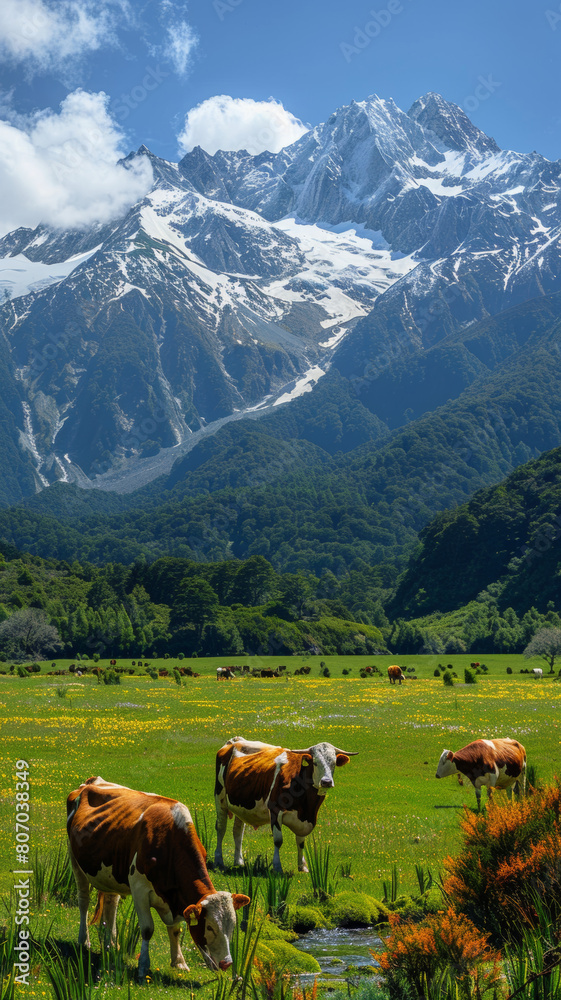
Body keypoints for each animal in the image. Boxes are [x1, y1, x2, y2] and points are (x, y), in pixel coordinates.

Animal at [66, 776, 248, 980]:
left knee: (111, 904)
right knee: (83, 901)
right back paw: (84, 940)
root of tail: (91, 781)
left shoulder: (176, 899)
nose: (227, 963)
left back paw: (111, 944)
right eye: (209, 927)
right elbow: (147, 929)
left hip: (111, 872)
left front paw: (179, 962)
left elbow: (176, 930)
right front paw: (143, 966)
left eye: (232, 927)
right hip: (75, 862)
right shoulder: (139, 889)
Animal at [212, 736, 356, 876]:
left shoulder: (305, 819)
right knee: (221, 828)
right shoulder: (275, 810)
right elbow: (278, 840)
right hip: (219, 797)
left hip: (241, 805)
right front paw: (277, 867)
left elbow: (301, 842)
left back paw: (239, 861)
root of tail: (235, 740)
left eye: (333, 763)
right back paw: (219, 861)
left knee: (238, 831)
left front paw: (302, 866)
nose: (326, 782)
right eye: (315, 762)